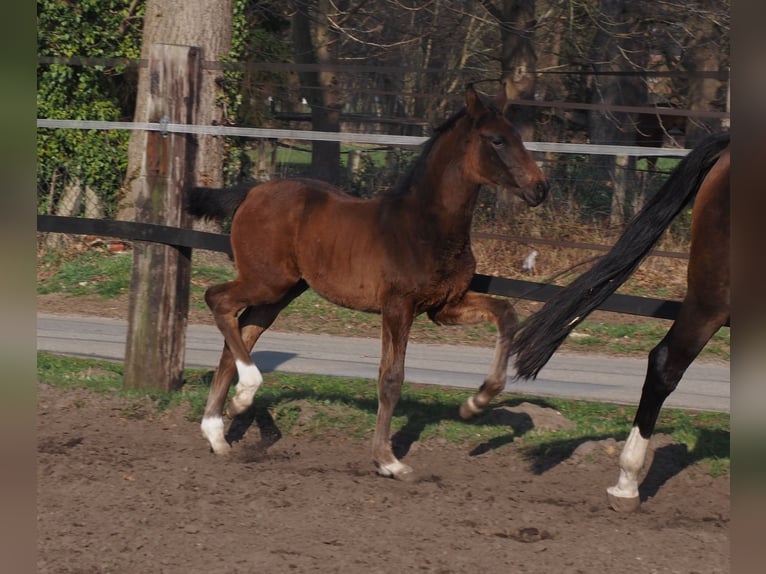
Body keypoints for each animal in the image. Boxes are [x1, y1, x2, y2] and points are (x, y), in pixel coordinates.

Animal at [186, 85, 549, 480]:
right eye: (497, 139)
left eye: (518, 136)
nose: (541, 188)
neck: (425, 226)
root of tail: (252, 192)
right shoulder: (398, 306)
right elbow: (390, 379)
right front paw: (388, 461)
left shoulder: (444, 306)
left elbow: (506, 313)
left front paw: (475, 402)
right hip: (266, 281)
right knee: (217, 300)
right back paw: (242, 395)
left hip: (280, 293)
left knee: (240, 332)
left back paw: (221, 427)